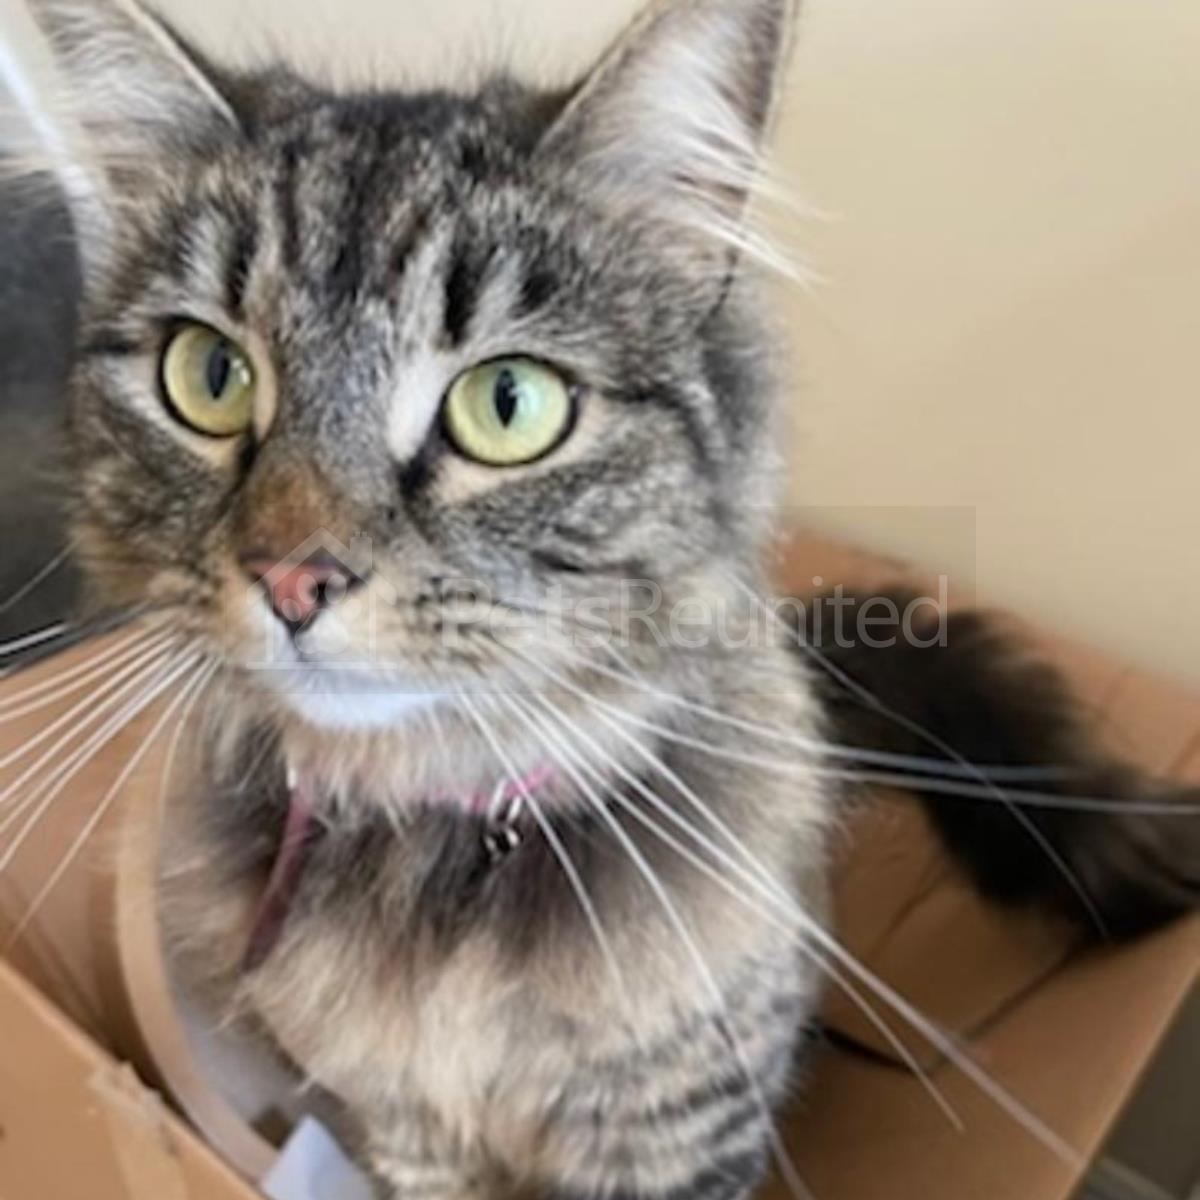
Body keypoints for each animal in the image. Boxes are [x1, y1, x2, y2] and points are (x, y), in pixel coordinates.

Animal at [8, 0, 1198, 1197]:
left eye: (508, 402)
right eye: (210, 377)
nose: (293, 578)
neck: (448, 842)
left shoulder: (675, 1128)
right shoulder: (401, 1127)